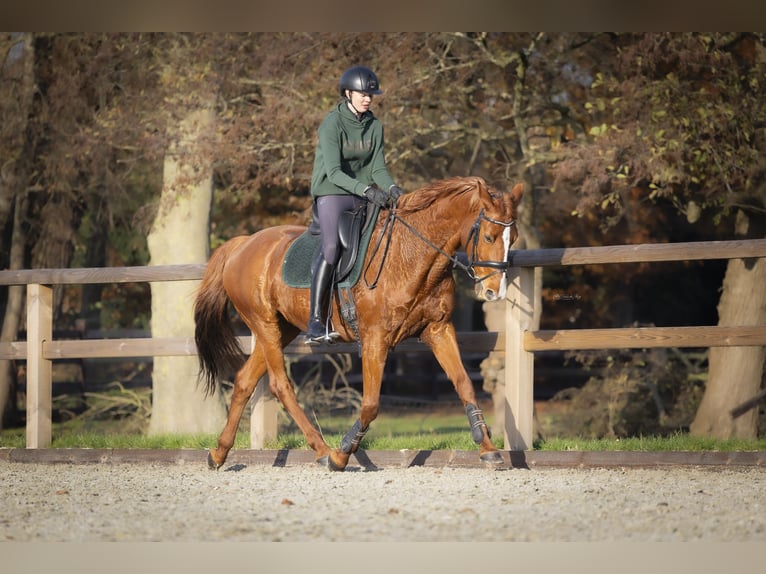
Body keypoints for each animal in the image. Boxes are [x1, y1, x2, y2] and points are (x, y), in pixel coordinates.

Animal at [195, 176, 524, 472]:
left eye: (515, 238)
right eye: (489, 237)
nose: (495, 291)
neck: (412, 255)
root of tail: (242, 244)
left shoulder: (438, 330)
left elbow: (464, 384)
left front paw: (489, 449)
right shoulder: (375, 339)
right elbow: (370, 403)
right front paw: (342, 455)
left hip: (281, 329)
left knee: (244, 381)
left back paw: (219, 453)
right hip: (264, 324)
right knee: (280, 385)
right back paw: (323, 450)